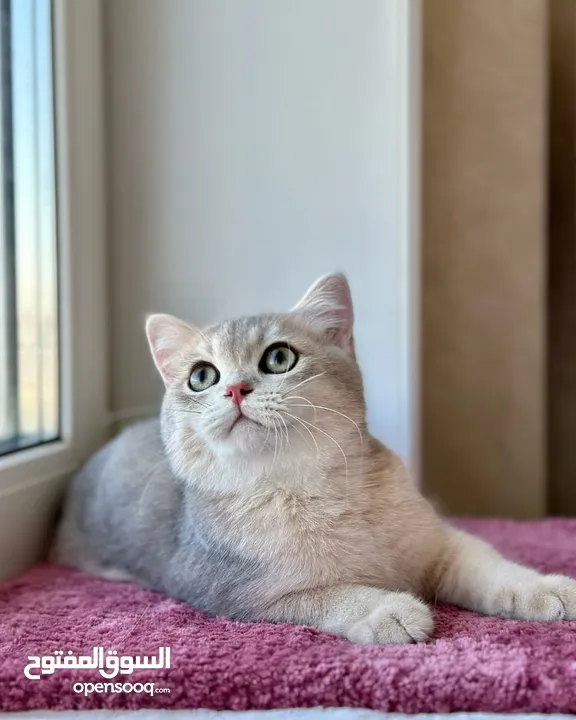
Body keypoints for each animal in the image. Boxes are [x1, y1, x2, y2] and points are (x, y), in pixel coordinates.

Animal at [54, 274, 576, 640]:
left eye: (278, 358)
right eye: (201, 376)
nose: (234, 389)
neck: (311, 489)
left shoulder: (440, 544)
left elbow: (489, 566)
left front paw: (545, 588)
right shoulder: (239, 597)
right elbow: (331, 595)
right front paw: (385, 608)